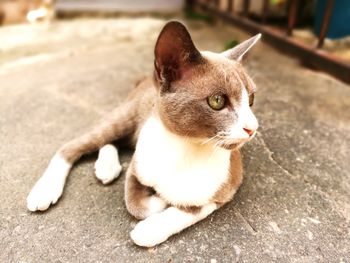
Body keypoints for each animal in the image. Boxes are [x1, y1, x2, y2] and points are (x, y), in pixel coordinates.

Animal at [26, 20, 260, 248]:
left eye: (251, 100)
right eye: (217, 101)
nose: (252, 127)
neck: (185, 147)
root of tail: (146, 79)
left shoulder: (227, 186)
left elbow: (192, 209)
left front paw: (150, 228)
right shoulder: (136, 168)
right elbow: (135, 203)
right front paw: (159, 201)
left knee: (113, 142)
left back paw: (106, 167)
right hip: (124, 118)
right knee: (77, 144)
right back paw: (44, 191)